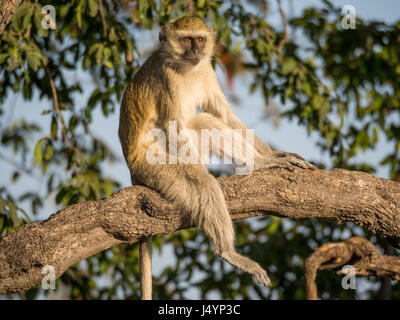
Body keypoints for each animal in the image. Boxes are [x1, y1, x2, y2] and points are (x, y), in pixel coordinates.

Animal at [119, 15, 316, 300]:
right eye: (186, 40)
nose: (196, 52)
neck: (186, 69)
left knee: (204, 122)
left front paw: (272, 154)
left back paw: (262, 162)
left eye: (200, 40)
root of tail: (132, 167)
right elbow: (175, 129)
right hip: (153, 165)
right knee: (203, 182)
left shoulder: (207, 71)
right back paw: (228, 251)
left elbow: (224, 115)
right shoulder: (166, 80)